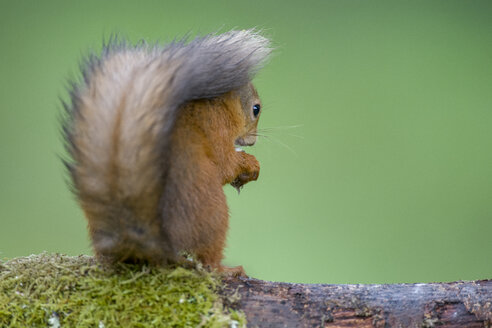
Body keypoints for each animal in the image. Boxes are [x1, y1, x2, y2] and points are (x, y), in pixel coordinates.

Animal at [63, 29, 270, 276]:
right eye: (256, 109)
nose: (252, 141)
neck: (217, 106)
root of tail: (148, 243)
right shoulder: (216, 128)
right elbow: (225, 165)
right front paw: (250, 164)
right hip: (213, 214)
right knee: (208, 259)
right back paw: (227, 269)